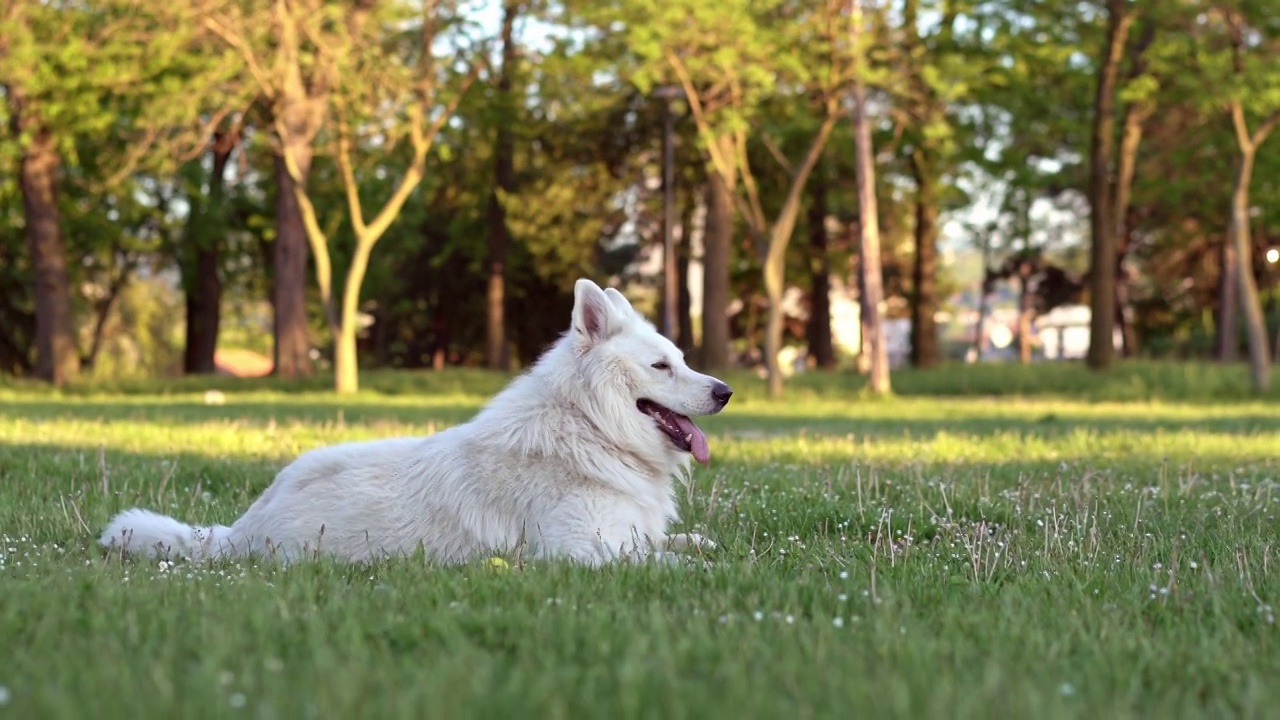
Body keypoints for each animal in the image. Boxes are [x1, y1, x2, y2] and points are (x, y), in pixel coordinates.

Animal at [98, 278, 732, 563]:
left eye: (683, 359)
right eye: (661, 366)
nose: (725, 391)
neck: (587, 427)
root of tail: (236, 533)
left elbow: (686, 541)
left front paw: (709, 546)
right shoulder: (579, 553)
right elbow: (664, 560)